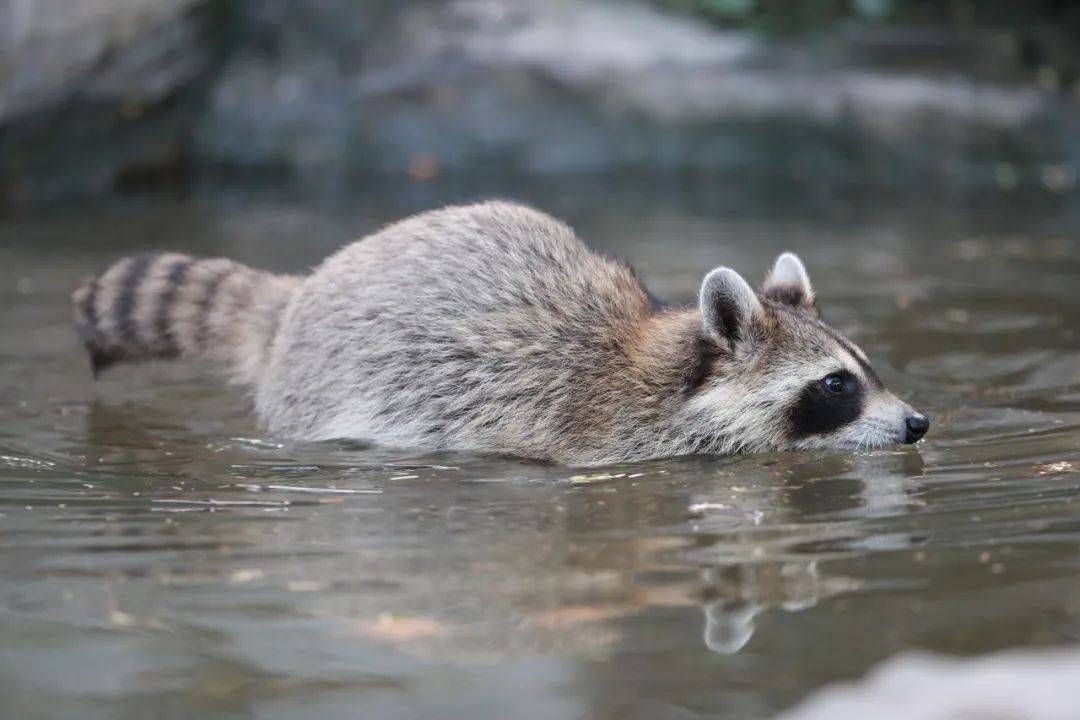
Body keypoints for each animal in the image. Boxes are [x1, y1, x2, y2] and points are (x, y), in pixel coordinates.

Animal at [71, 199, 928, 464]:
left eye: (867, 366)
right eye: (835, 385)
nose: (917, 422)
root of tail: (300, 295)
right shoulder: (592, 435)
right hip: (324, 387)